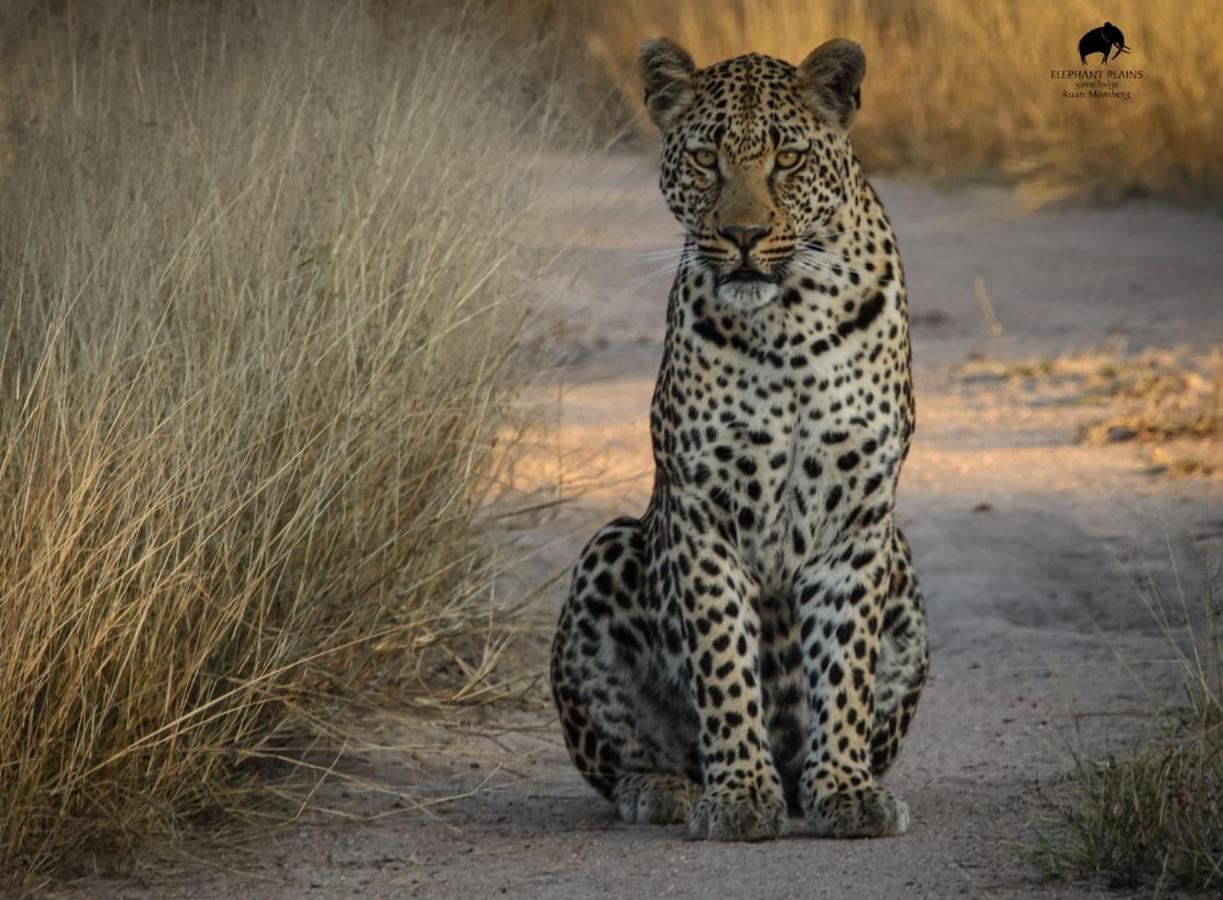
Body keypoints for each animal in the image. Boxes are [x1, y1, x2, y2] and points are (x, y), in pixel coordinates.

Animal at [550, 33, 929, 836]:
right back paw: (665, 788)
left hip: (903, 565)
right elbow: (724, 661)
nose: (744, 235)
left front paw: (846, 790)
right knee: (621, 758)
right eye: (704, 158)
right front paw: (739, 795)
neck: (788, 321)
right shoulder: (701, 510)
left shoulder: (856, 517)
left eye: (787, 158)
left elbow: (843, 665)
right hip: (610, 545)